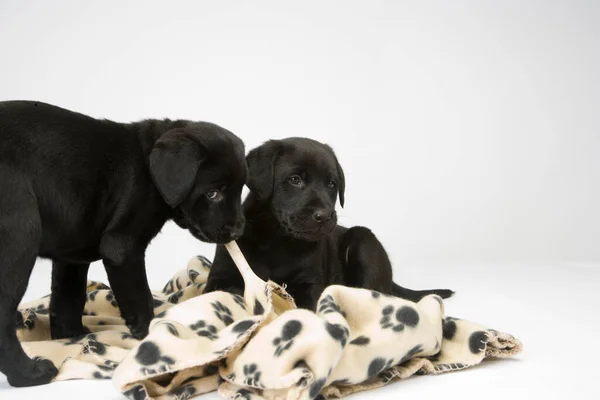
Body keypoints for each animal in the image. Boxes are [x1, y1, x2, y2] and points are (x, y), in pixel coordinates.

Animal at [0, 101, 247, 388]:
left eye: (240, 189)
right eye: (212, 194)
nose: (238, 229)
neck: (149, 169)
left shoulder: (71, 258)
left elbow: (68, 300)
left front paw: (74, 337)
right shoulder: (122, 248)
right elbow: (140, 298)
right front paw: (151, 336)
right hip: (20, 235)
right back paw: (29, 373)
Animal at [204, 139, 452, 310]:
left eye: (332, 184)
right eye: (295, 180)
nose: (324, 216)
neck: (277, 239)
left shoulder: (308, 284)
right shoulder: (219, 277)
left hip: (363, 240)